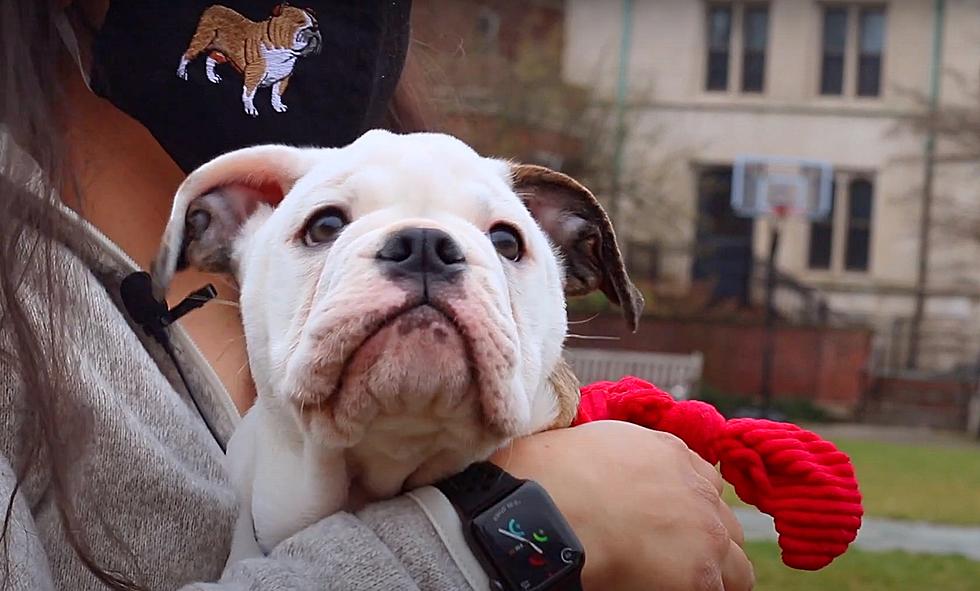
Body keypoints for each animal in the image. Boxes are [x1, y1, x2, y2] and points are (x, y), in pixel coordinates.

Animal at [178, 3, 324, 116]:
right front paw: (250, 108)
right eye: (299, 22)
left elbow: (277, 94)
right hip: (202, 40)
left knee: (210, 59)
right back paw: (181, 72)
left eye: (316, 24)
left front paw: (278, 106)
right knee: (187, 55)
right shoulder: (254, 74)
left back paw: (212, 77)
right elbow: (249, 93)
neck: (284, 52)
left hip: (222, 53)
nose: (313, 29)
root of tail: (213, 7)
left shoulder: (283, 78)